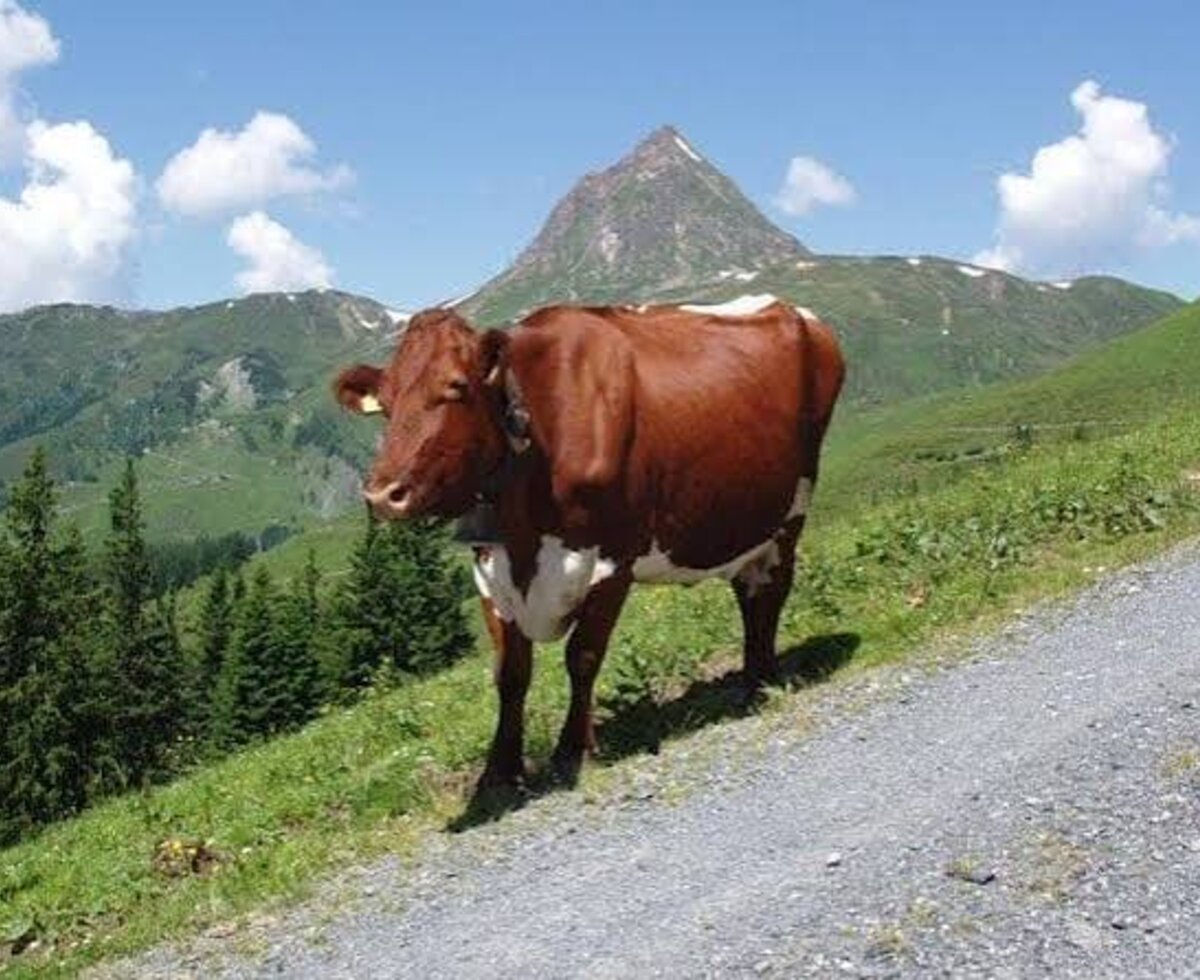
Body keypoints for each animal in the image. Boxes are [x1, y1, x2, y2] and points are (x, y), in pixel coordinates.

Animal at [334, 293, 845, 788]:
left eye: (456, 386)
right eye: (385, 402)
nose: (381, 495)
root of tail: (796, 312)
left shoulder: (610, 562)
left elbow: (581, 656)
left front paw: (572, 751)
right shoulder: (489, 573)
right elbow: (510, 675)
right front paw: (499, 772)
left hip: (792, 509)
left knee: (771, 591)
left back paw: (762, 680)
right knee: (749, 590)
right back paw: (752, 676)